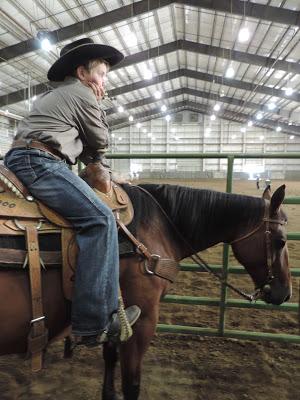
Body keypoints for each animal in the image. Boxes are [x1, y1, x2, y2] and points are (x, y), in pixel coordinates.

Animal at [0, 181, 290, 400]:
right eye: (280, 241)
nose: (284, 294)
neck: (158, 224)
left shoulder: (118, 315)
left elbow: (110, 356)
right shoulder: (144, 319)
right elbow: (132, 384)